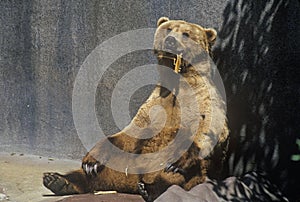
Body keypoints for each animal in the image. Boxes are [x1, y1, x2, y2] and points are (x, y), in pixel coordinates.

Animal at [43, 16, 229, 201]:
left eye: (186, 33)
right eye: (168, 29)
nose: (170, 40)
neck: (177, 77)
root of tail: (129, 183)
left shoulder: (203, 98)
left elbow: (208, 127)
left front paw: (177, 162)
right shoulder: (157, 100)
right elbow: (132, 130)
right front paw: (90, 161)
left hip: (191, 172)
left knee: (176, 177)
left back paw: (149, 189)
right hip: (124, 161)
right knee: (93, 173)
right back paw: (57, 180)